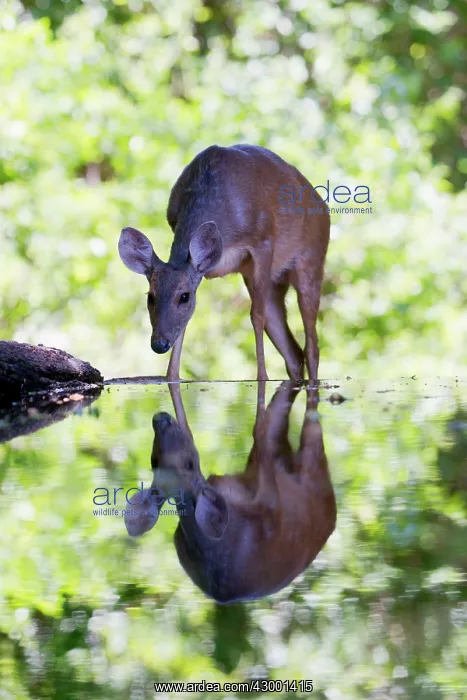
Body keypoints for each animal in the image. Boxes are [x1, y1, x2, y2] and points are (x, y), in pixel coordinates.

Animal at [118, 144, 330, 382]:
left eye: (184, 296)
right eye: (150, 297)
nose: (159, 344)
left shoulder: (264, 241)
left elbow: (256, 315)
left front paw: (262, 377)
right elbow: (186, 322)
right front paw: (171, 376)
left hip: (312, 260)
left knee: (311, 346)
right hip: (270, 281)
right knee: (293, 351)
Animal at [124, 382, 336, 604]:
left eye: (152, 460)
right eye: (189, 464)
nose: (161, 419)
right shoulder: (270, 501)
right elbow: (259, 431)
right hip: (314, 471)